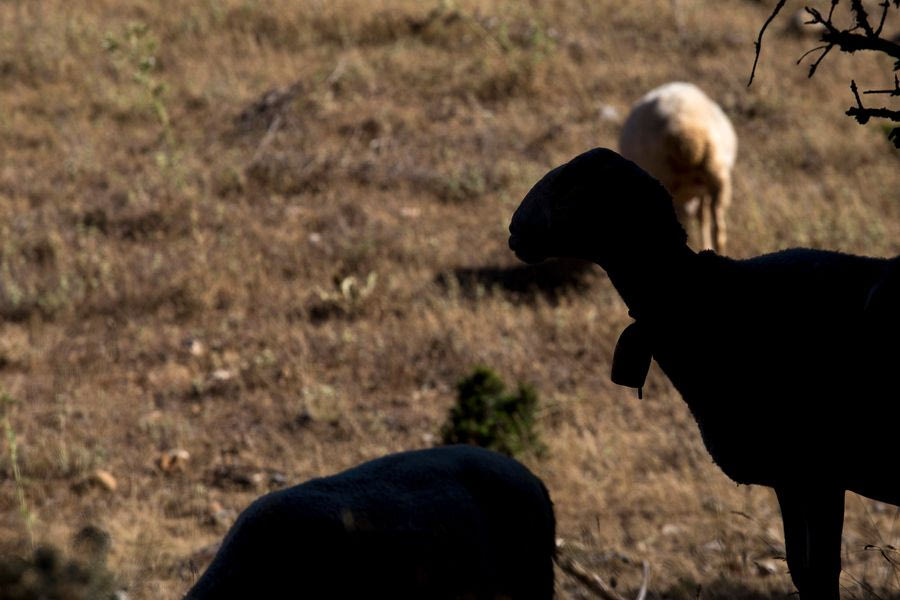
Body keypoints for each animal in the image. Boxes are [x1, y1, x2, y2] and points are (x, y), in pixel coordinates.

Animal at [510, 148, 896, 600]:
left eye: (574, 183)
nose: (515, 229)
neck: (700, 299)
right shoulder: (789, 479)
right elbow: (803, 572)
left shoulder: (819, 474)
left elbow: (820, 573)